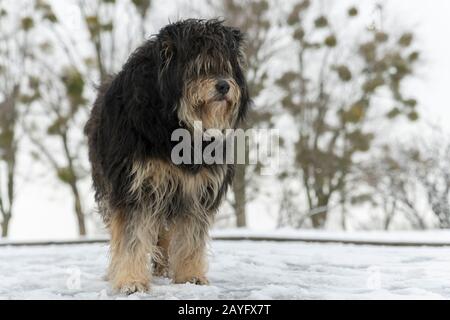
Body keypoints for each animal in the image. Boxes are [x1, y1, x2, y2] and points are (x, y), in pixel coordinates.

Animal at [84, 18, 250, 294]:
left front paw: (191, 276)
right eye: (199, 66)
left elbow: (191, 238)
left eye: (226, 67)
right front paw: (131, 280)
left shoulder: (196, 190)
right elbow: (131, 238)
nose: (224, 85)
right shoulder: (135, 186)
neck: (173, 123)